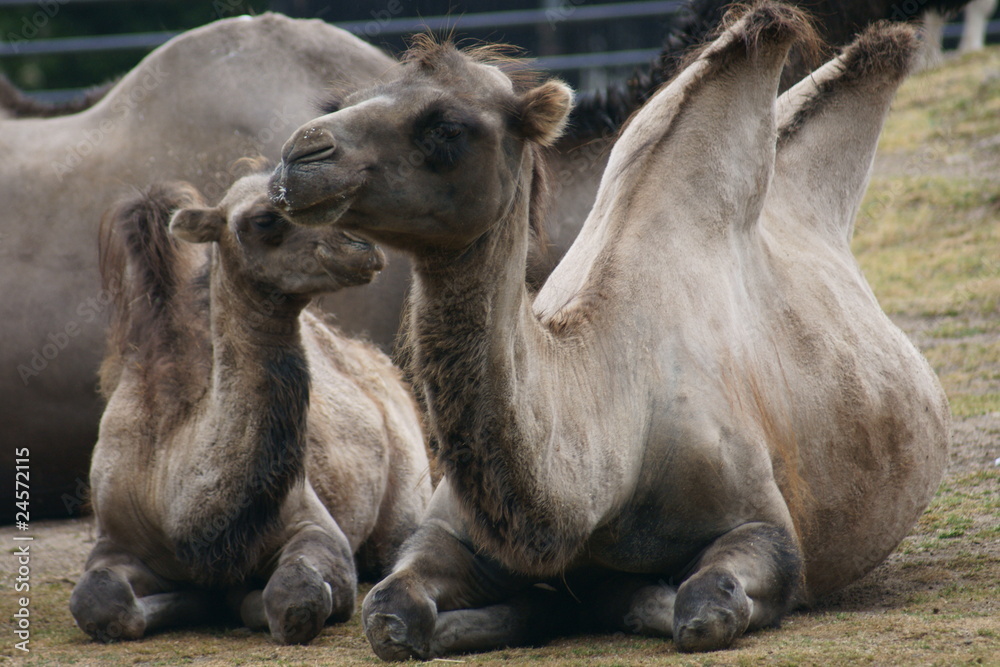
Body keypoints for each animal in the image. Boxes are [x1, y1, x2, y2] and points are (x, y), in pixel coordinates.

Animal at [70, 173, 431, 644]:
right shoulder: (114, 536)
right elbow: (98, 601)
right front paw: (196, 598)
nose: (362, 249)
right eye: (264, 218)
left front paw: (237, 597)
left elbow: (297, 596)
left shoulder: (311, 524)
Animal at [269, 4, 950, 657]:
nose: (298, 157)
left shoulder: (764, 527)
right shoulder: (449, 530)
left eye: (445, 126)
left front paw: (603, 596)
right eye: (351, 98)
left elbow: (703, 607)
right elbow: (387, 610)